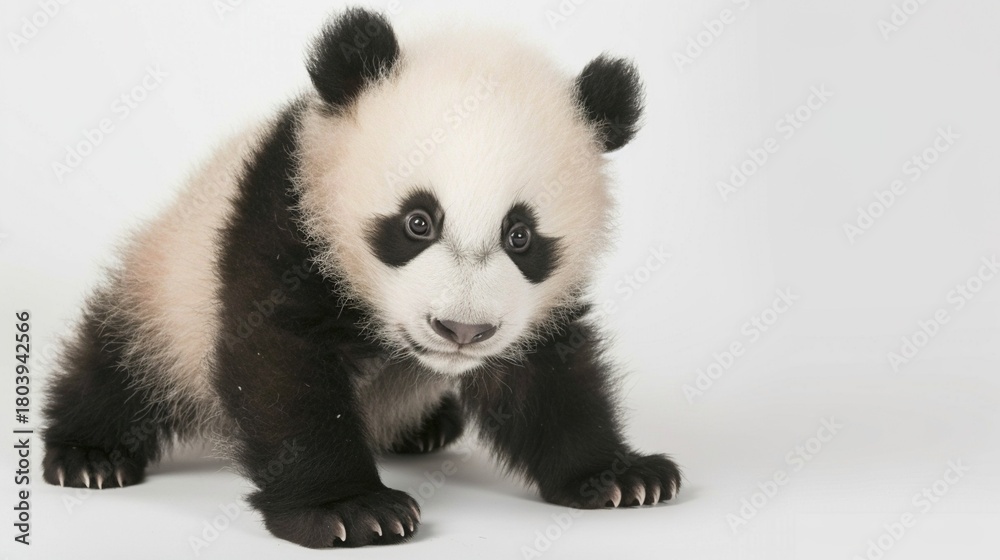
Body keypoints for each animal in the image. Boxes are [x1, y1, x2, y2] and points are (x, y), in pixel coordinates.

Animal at [41, 7, 681, 549]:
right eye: (417, 221)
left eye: (520, 236)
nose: (461, 331)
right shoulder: (286, 219)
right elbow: (282, 368)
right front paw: (349, 510)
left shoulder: (532, 310)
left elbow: (548, 379)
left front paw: (620, 476)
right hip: (169, 289)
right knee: (120, 363)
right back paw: (88, 455)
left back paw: (427, 428)